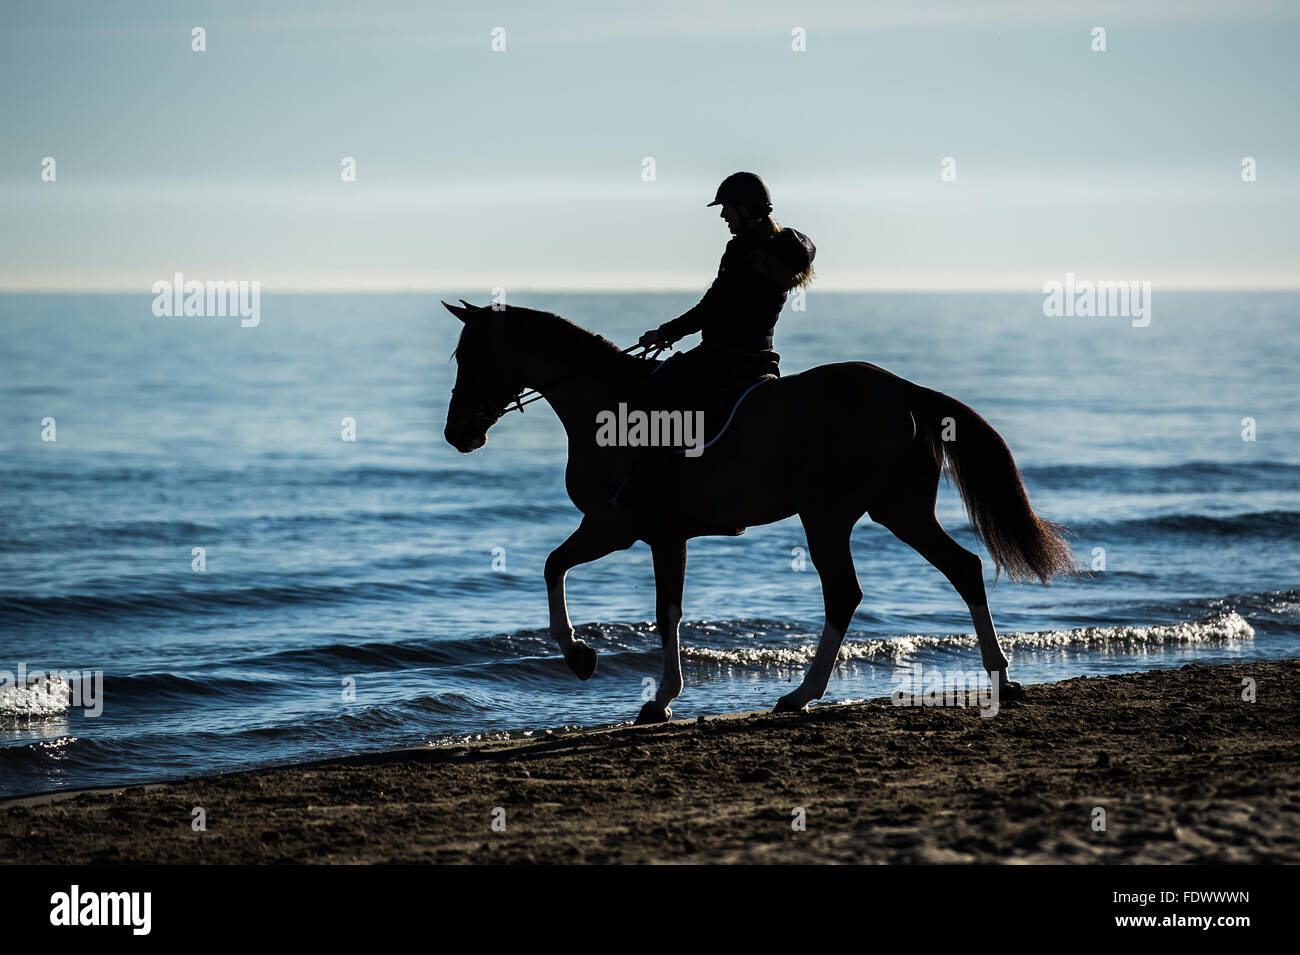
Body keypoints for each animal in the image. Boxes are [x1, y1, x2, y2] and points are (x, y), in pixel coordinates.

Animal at [441, 300, 1075, 724]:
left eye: (470, 355)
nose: (457, 434)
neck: (607, 407)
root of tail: (904, 390)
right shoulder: (653, 534)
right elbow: (641, 599)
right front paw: (639, 686)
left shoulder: (627, 528)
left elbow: (600, 584)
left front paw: (593, 663)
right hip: (895, 510)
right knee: (962, 568)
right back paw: (1000, 677)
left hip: (831, 516)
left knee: (847, 591)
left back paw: (801, 694)